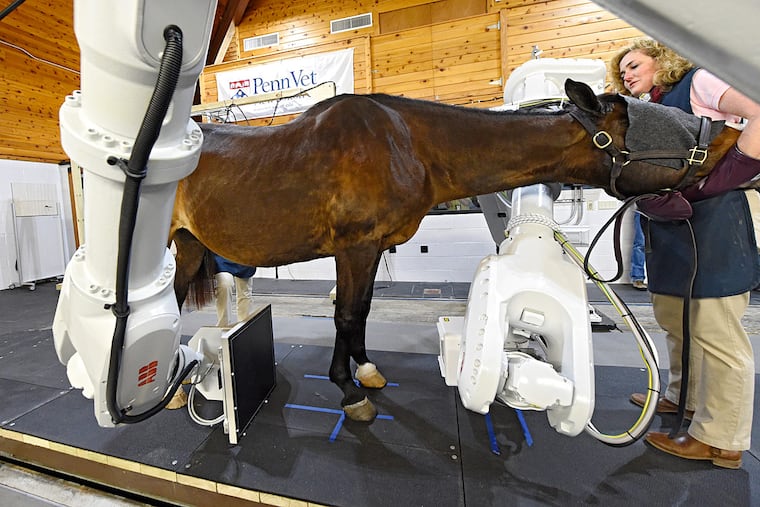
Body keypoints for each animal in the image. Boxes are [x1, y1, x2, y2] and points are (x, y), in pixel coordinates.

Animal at [169, 79, 740, 422]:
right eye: (661, 120)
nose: (732, 135)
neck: (408, 143)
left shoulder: (371, 251)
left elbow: (363, 312)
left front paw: (367, 372)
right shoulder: (355, 248)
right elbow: (347, 314)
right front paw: (351, 393)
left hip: (190, 248)